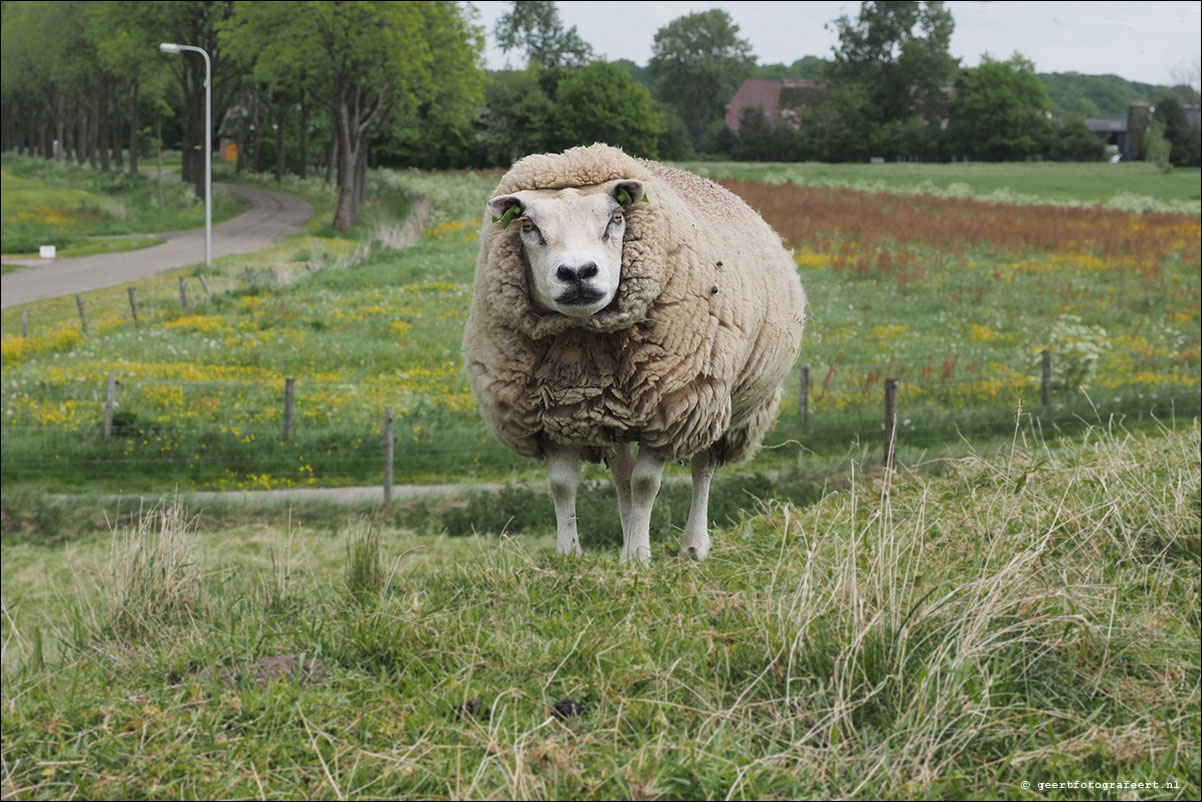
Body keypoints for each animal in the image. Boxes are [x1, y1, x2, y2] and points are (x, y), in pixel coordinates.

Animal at [463, 142, 802, 565]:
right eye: (528, 226)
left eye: (616, 218)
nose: (578, 273)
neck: (582, 348)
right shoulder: (551, 416)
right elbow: (563, 485)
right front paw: (569, 555)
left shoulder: (673, 407)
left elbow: (644, 484)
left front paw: (638, 556)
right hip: (612, 411)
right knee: (621, 474)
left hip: (721, 404)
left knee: (702, 469)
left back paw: (693, 545)